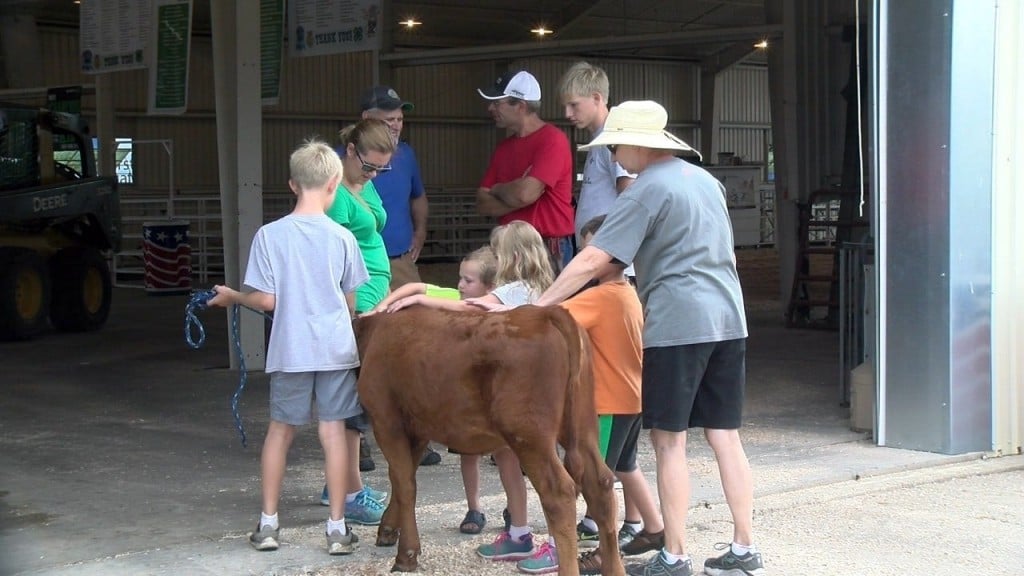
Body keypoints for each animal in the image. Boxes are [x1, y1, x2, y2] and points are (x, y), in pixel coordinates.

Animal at [352, 305, 622, 573]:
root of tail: (544, 313)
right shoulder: (417, 430)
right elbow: (401, 478)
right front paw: (388, 530)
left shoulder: (387, 422)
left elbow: (405, 484)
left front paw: (406, 554)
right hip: (584, 428)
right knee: (601, 485)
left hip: (529, 435)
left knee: (559, 493)